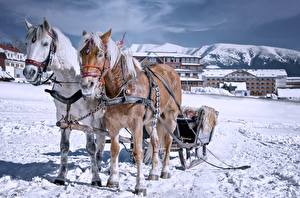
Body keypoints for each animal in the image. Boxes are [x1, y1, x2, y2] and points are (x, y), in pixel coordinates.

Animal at [22, 18, 105, 186]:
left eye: (45, 43)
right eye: (27, 43)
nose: (29, 72)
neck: (70, 81)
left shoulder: (88, 120)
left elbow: (91, 147)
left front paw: (95, 178)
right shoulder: (63, 118)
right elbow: (64, 147)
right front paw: (61, 176)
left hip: (100, 120)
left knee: (101, 140)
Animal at [77, 29, 182, 195]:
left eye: (100, 53)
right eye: (82, 53)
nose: (87, 85)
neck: (123, 90)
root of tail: (171, 71)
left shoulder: (136, 124)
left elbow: (138, 151)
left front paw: (140, 185)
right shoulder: (113, 124)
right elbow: (114, 149)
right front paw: (113, 180)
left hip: (170, 117)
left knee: (168, 142)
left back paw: (165, 171)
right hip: (151, 121)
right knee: (155, 142)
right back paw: (153, 172)